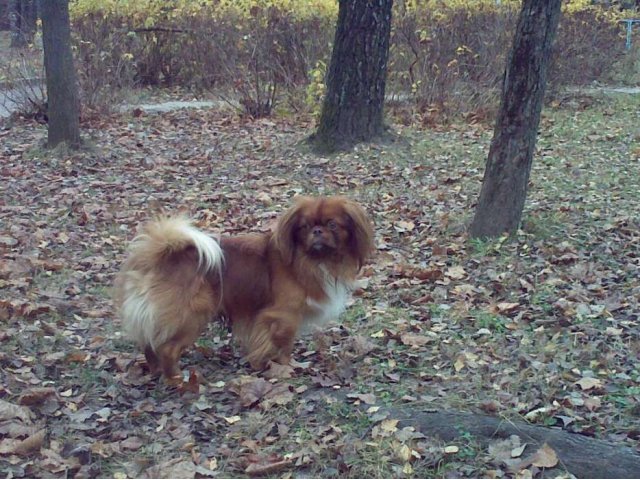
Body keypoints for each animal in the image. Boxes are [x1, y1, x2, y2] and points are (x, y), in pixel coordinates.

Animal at [115, 195, 376, 382]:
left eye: (332, 224)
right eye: (305, 226)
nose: (317, 231)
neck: (314, 260)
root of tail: (160, 254)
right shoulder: (284, 316)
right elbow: (284, 345)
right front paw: (287, 367)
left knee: (148, 345)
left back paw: (156, 372)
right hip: (191, 317)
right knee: (167, 349)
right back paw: (178, 380)